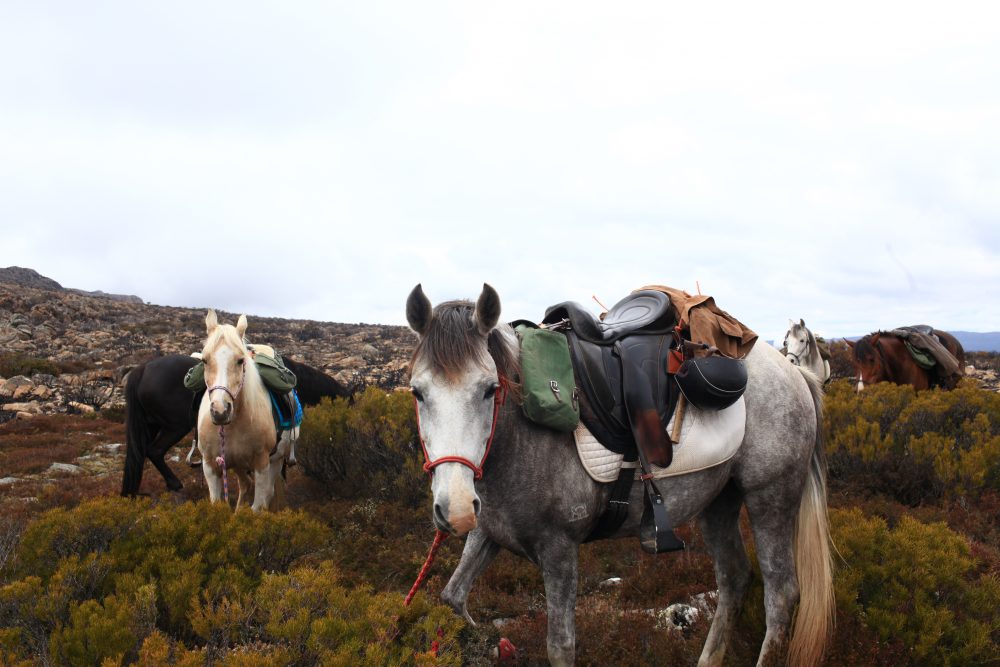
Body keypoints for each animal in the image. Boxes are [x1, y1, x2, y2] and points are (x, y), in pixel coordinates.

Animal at [405, 284, 833, 667]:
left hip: (770, 499)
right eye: (417, 392)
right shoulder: (489, 532)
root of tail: (794, 373)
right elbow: (453, 598)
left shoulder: (559, 549)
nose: (456, 508)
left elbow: (560, 647)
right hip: (718, 502)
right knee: (734, 579)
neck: (518, 438)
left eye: (489, 389)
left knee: (780, 593)